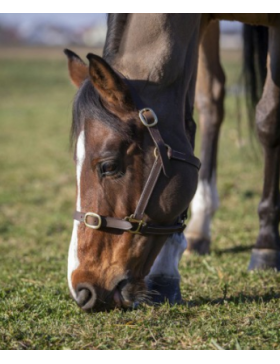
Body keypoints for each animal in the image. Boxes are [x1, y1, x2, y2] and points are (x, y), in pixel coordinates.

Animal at [64, 13, 280, 310]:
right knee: (211, 100)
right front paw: (166, 273)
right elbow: (188, 124)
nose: (81, 289)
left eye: (108, 166)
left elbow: (269, 120)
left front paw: (266, 245)